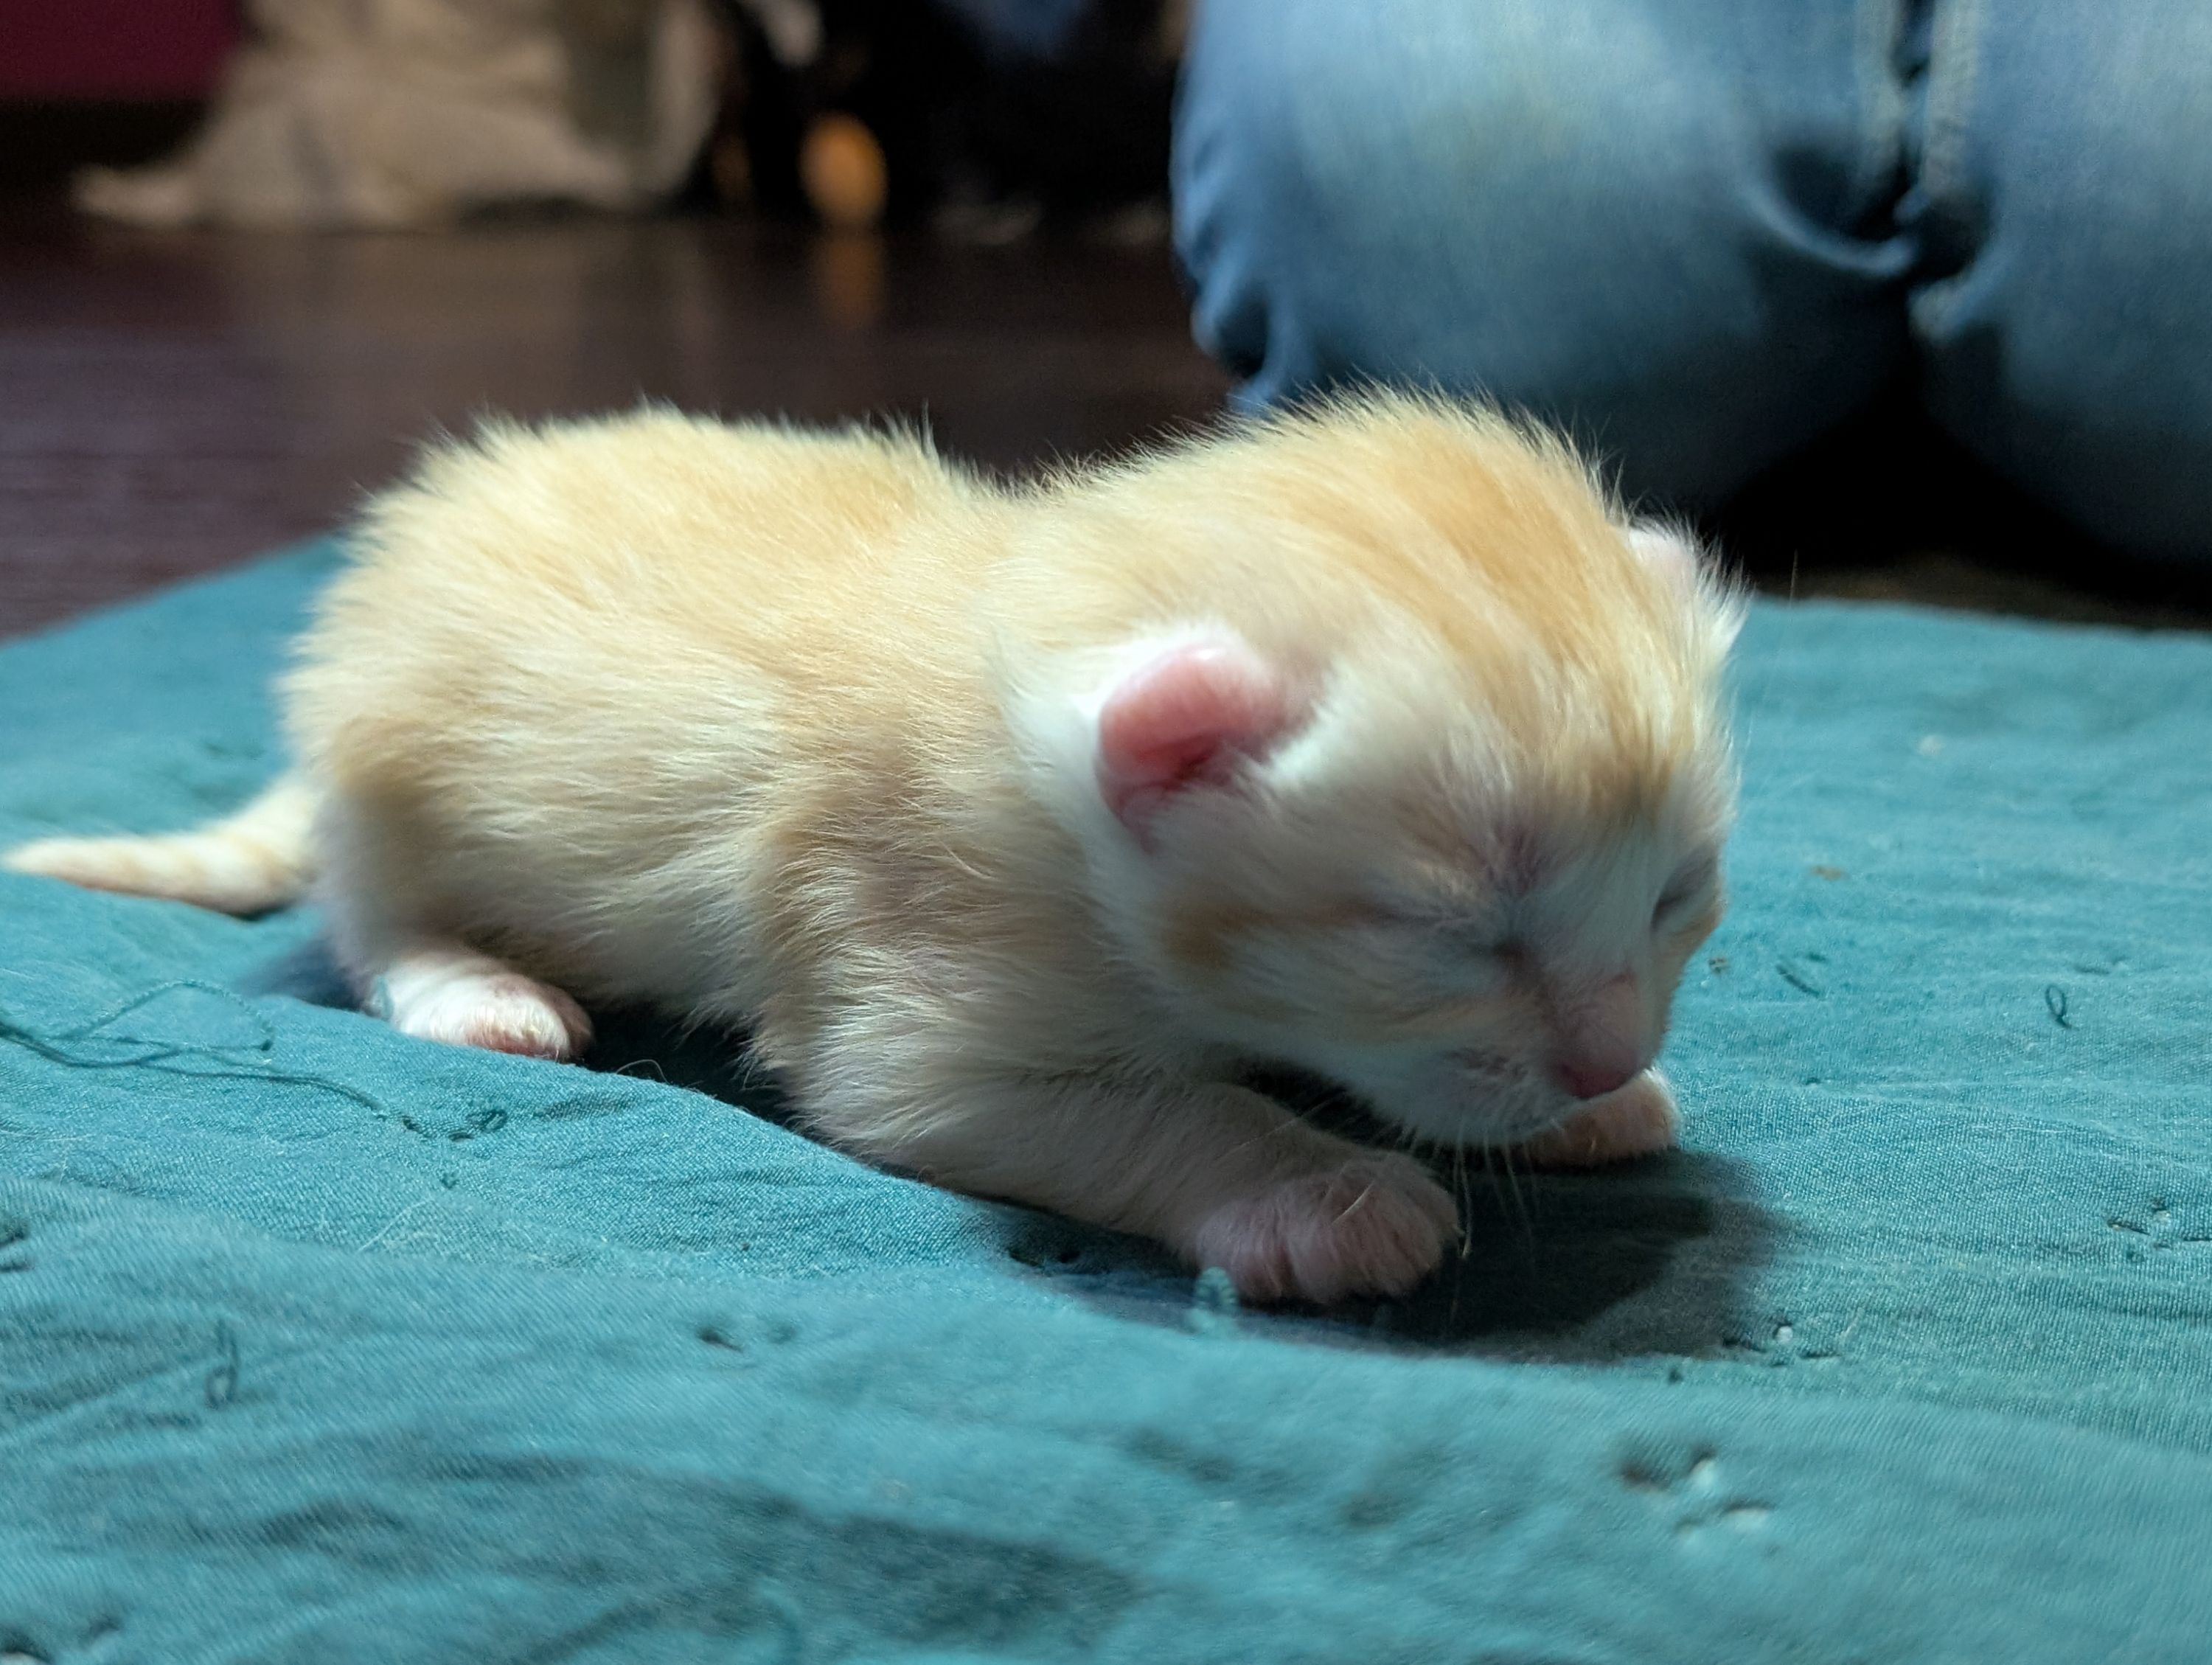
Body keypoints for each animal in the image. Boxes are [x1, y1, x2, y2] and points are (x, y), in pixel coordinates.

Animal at [6, 394, 1741, 1304]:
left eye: (1677, 893)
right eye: (1455, 931)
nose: (1603, 1054)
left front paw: (1590, 1108)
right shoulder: (912, 984)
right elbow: (1149, 1109)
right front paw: (1324, 1194)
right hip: (389, 790)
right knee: (369, 918)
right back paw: (473, 987)